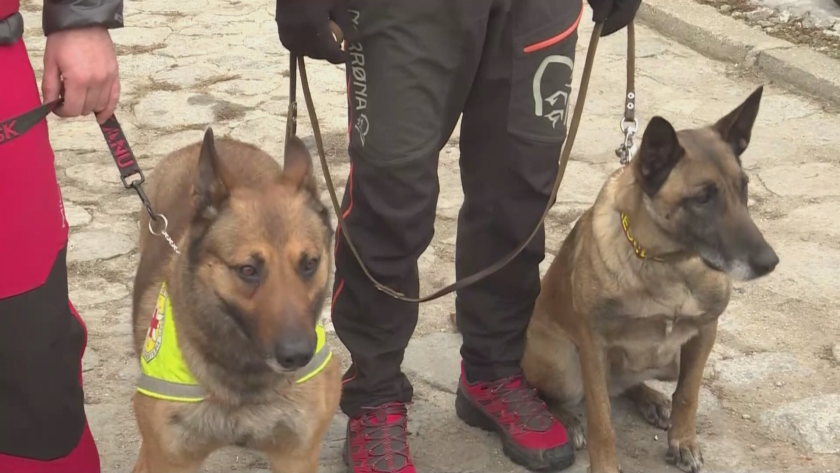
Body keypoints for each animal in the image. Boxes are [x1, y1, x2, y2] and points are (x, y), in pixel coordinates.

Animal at [128, 126, 338, 472]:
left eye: (310, 263)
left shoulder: (296, 457)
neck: (243, 380)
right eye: (248, 270)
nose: (298, 356)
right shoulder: (170, 460)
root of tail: (226, 141)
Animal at [520, 85, 776, 472]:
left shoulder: (704, 333)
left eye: (743, 187)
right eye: (702, 198)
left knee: (627, 386)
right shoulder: (593, 345)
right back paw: (565, 420)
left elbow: (688, 394)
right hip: (562, 364)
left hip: (667, 361)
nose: (770, 262)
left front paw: (683, 441)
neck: (669, 264)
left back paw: (651, 398)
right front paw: (604, 464)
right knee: (547, 388)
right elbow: (601, 419)